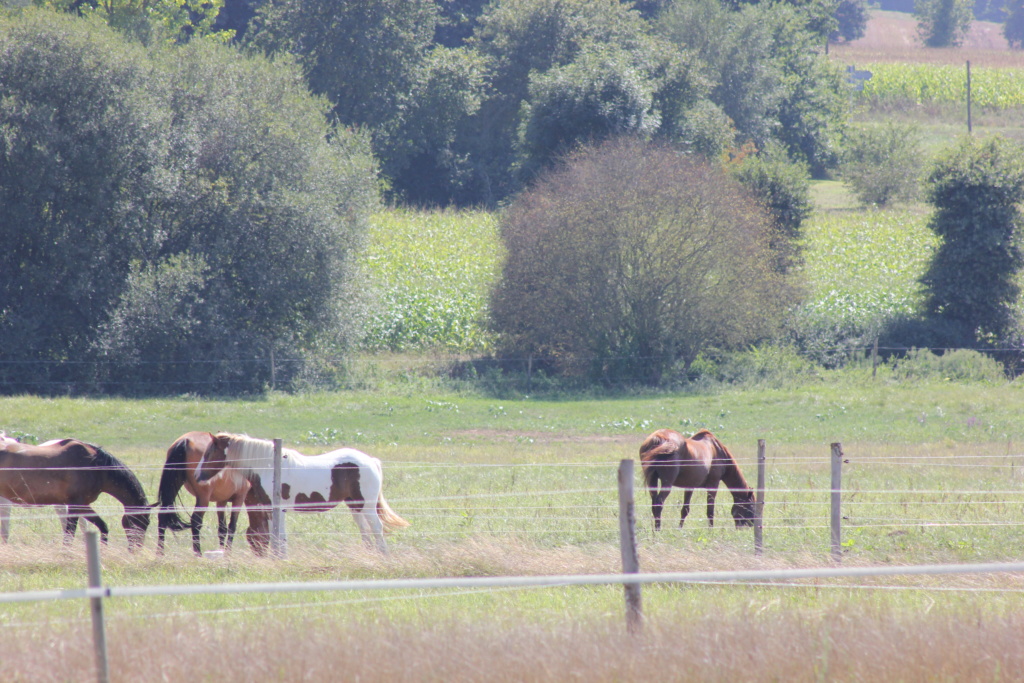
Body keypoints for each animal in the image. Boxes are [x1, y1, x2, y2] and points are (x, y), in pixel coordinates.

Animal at [0, 440, 151, 552]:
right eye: (142, 522)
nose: (135, 549)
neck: (94, 465)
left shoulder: (83, 505)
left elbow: (102, 526)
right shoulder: (74, 504)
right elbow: (69, 534)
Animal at [195, 432, 407, 557]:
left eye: (209, 453)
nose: (197, 475)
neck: (269, 466)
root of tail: (370, 460)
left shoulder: (278, 509)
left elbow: (280, 535)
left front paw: (281, 559)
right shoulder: (270, 509)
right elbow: (274, 534)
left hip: (367, 505)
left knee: (377, 528)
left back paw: (383, 556)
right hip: (354, 506)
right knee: (364, 529)